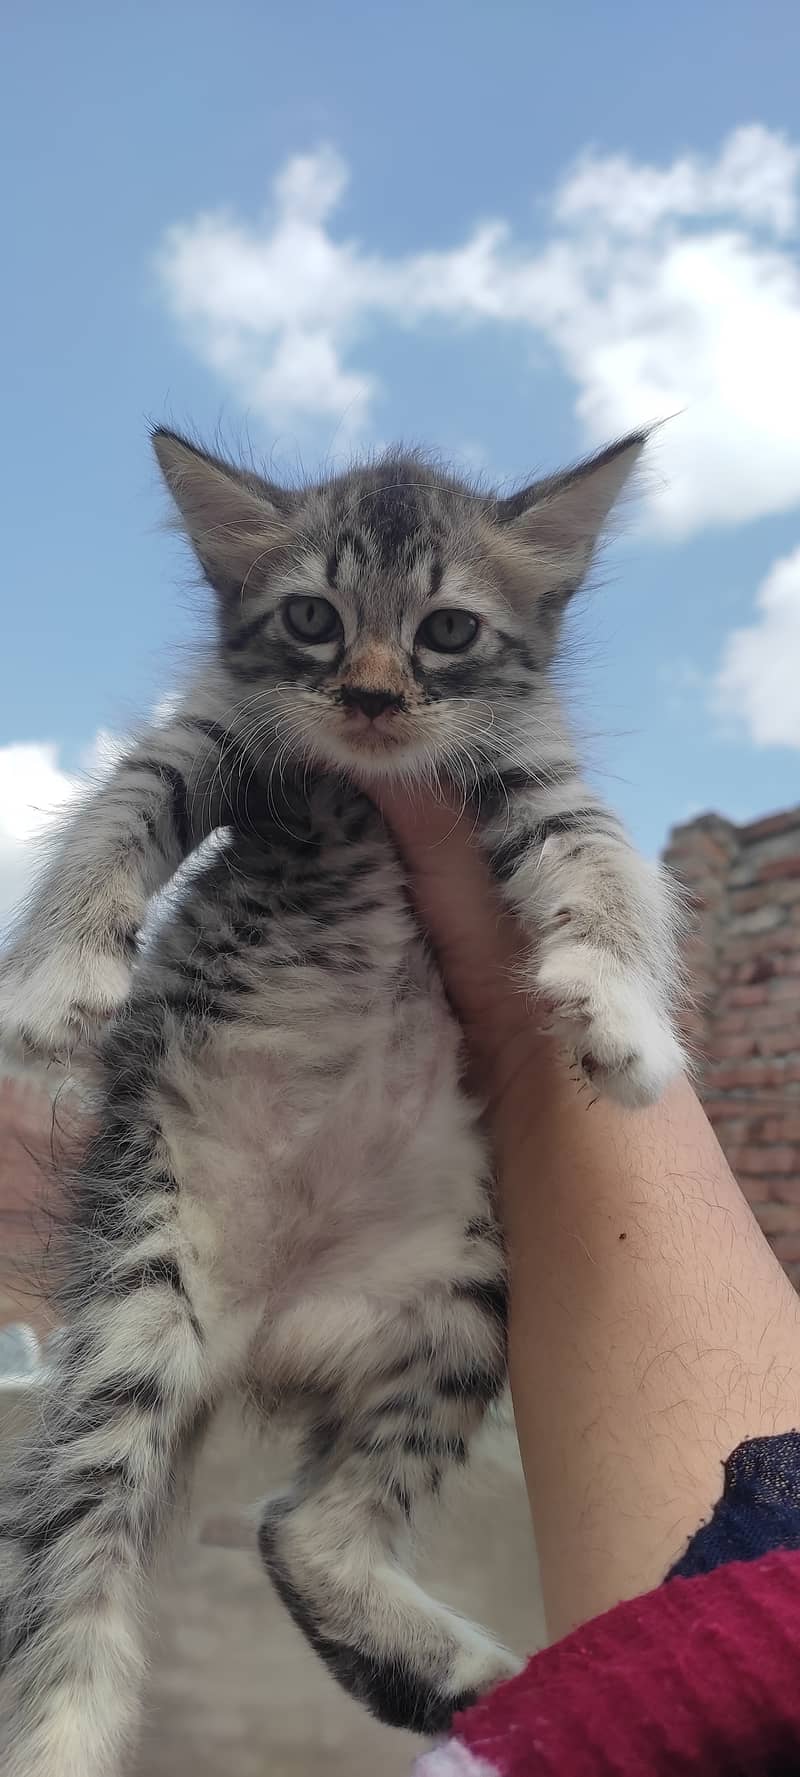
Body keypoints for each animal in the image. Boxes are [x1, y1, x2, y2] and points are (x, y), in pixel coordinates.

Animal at [0, 430, 682, 1777]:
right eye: (312, 618)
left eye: (446, 630)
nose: (370, 696)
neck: (364, 786)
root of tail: (259, 1327)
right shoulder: (202, 736)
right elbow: (109, 822)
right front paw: (55, 985)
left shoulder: (532, 773)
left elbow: (600, 862)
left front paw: (624, 1021)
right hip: (134, 1307)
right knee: (81, 1557)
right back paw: (64, 1736)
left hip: (463, 1311)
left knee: (297, 1526)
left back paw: (460, 1678)